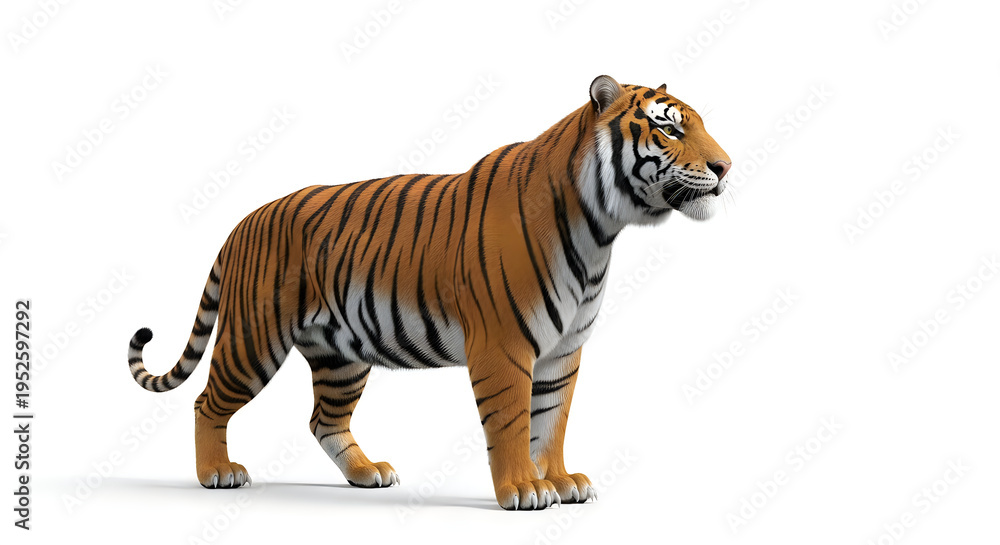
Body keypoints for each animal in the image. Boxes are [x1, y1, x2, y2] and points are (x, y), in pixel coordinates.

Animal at [127, 75, 731, 510]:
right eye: (670, 131)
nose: (726, 167)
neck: (601, 228)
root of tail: (244, 221)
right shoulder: (504, 346)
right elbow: (514, 421)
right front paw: (523, 489)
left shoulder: (564, 352)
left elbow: (551, 421)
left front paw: (560, 481)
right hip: (254, 339)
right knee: (207, 402)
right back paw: (216, 473)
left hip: (341, 356)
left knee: (325, 420)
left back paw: (367, 474)